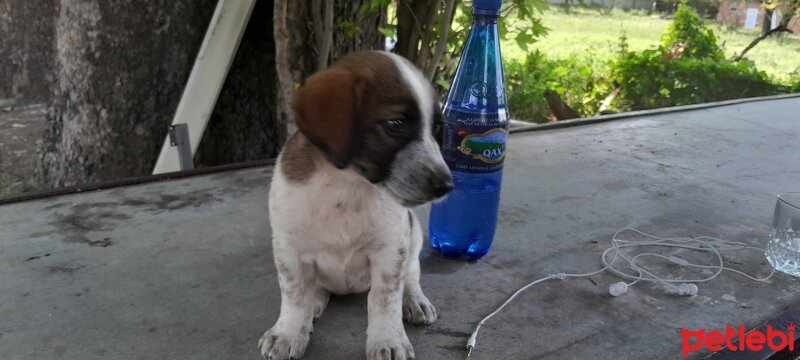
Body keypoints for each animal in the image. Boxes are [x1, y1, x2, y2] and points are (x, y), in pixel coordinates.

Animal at [260, 51, 454, 360]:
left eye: (436, 128)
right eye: (396, 124)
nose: (447, 185)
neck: (347, 184)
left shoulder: (391, 249)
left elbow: (385, 298)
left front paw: (388, 340)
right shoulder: (289, 249)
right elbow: (294, 295)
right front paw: (288, 332)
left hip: (413, 236)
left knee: (411, 276)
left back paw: (414, 300)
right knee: (316, 289)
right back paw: (315, 301)